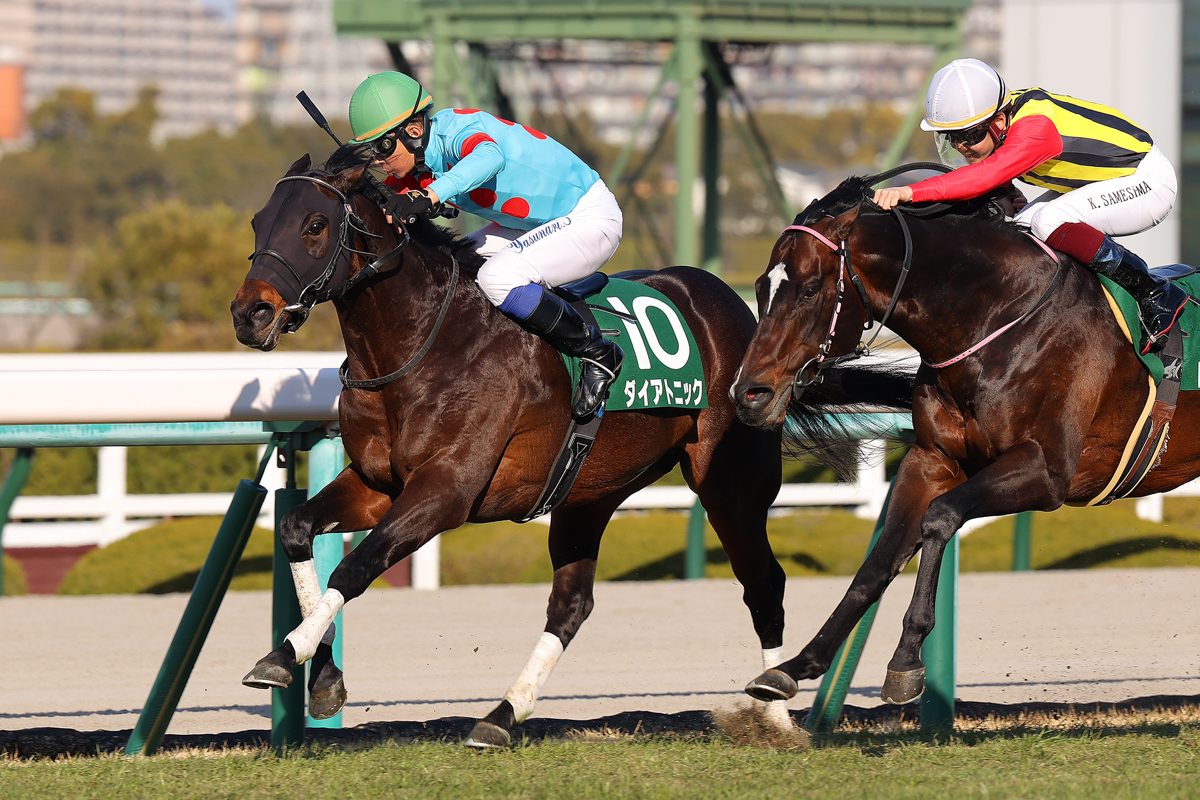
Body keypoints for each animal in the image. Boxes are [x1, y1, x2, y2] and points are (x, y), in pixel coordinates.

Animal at [226, 146, 907, 748]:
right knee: (571, 605)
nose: (250, 313)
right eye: (259, 220)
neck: (423, 342)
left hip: (729, 484)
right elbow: (296, 530)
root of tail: (738, 311)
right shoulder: (376, 485)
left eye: (315, 225)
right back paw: (501, 716)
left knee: (763, 583)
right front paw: (319, 676)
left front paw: (283, 656)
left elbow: (356, 566)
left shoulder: (446, 491)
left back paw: (774, 713)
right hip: (588, 491)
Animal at [729, 173, 1200, 705]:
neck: (998, 320)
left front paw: (906, 659)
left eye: (810, 291)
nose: (749, 395)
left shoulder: (1047, 471)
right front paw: (800, 663)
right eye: (760, 289)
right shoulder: (933, 460)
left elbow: (941, 517)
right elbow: (879, 560)